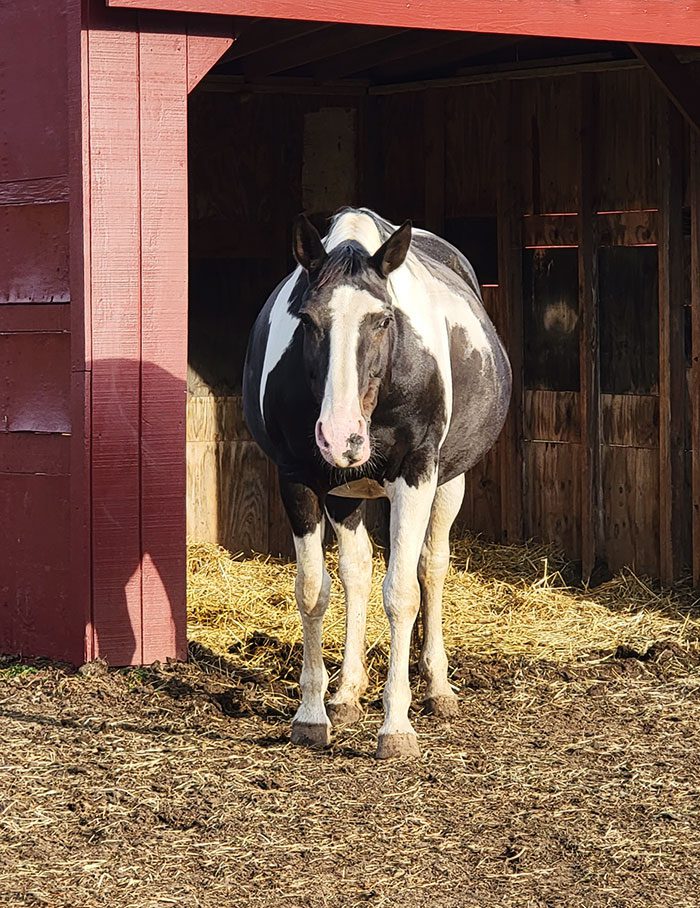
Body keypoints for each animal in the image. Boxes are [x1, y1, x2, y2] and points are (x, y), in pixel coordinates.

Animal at [243, 208, 511, 758]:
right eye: (307, 320)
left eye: (384, 320)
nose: (340, 435)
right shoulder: (298, 480)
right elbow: (313, 589)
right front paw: (313, 715)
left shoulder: (416, 473)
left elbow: (402, 592)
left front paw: (396, 727)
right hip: (345, 494)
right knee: (358, 571)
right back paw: (347, 692)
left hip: (448, 483)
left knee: (431, 567)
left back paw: (437, 687)